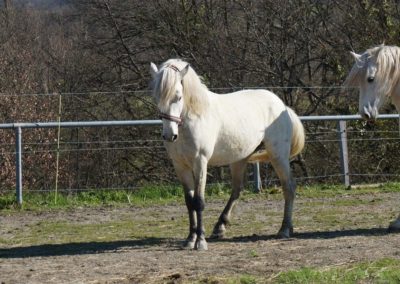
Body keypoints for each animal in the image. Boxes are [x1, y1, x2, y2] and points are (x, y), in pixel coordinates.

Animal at [152, 58, 304, 250]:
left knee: (289, 187)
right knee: (237, 190)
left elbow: (199, 202)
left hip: (278, 156)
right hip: (239, 159)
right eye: (157, 98)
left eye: (178, 96)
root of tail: (282, 106)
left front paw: (200, 241)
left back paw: (284, 229)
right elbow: (189, 202)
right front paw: (190, 239)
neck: (195, 116)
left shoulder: (200, 163)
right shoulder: (180, 166)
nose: (169, 135)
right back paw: (220, 227)